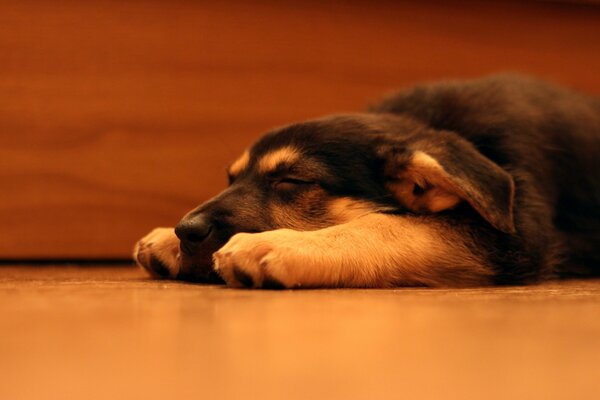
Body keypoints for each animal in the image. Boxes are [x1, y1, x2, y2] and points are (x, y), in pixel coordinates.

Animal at [134, 74, 596, 288]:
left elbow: (394, 225)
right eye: (231, 178)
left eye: (292, 181)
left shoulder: (515, 236)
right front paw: (167, 240)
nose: (186, 230)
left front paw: (278, 244)